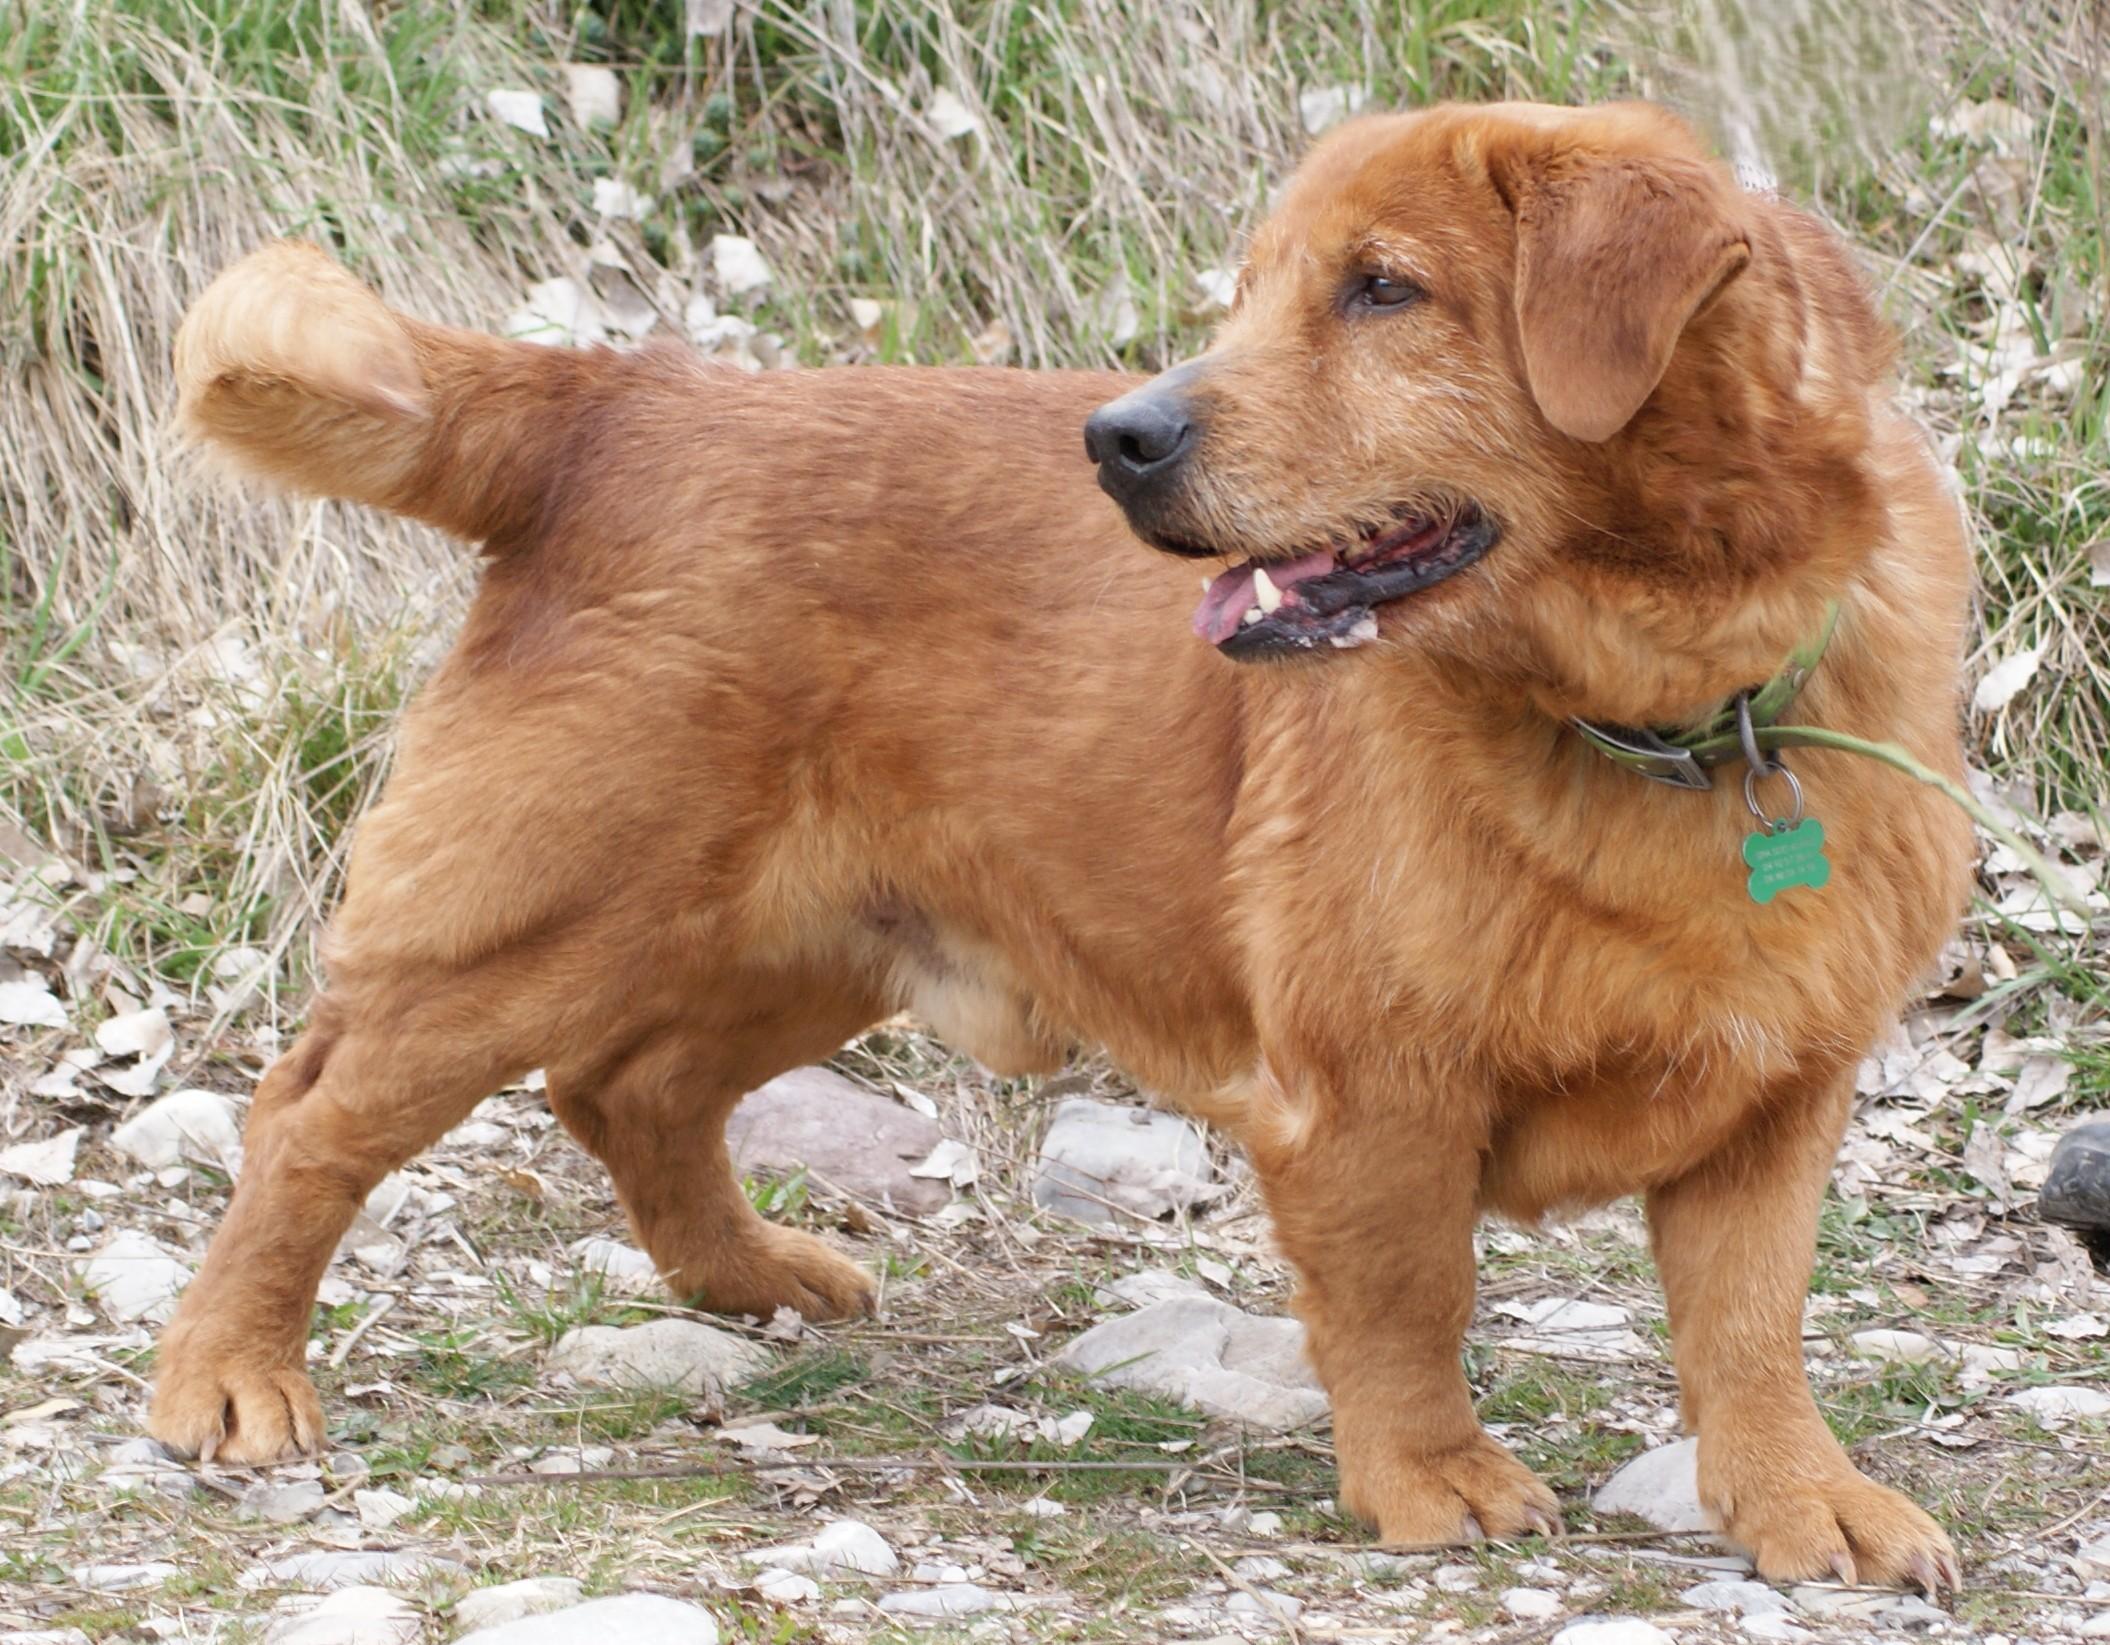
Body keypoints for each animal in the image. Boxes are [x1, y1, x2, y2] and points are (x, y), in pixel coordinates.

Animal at [150, 100, 1972, 1591]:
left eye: (1381, 290)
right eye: (1257, 290)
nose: (1120, 439)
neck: (1674, 709)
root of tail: (621, 400)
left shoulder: (1776, 1104)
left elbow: (1751, 1334)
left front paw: (1795, 1498)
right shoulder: (1369, 1093)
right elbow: (1410, 1303)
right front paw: (1427, 1478)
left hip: (816, 941)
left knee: (631, 1087)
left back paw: (745, 1277)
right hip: (533, 921)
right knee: (309, 1120)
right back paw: (227, 1374)